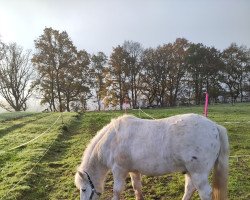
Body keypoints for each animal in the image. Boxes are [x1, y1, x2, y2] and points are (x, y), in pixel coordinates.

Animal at [74, 114, 229, 200]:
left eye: (83, 189)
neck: (113, 140)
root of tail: (215, 126)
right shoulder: (133, 171)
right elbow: (137, 187)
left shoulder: (119, 170)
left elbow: (117, 190)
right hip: (190, 172)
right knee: (189, 189)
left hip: (198, 173)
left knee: (204, 192)